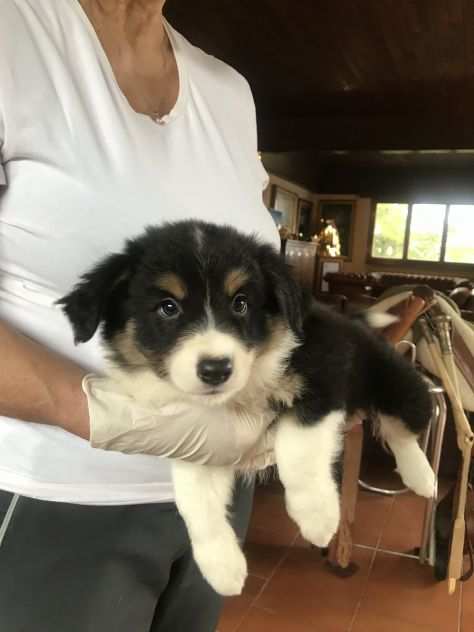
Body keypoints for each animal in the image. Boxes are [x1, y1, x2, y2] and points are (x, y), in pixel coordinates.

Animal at [60, 220, 436, 596]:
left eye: (240, 303)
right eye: (168, 307)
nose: (216, 369)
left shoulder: (323, 373)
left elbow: (298, 447)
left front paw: (317, 516)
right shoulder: (197, 437)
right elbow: (195, 497)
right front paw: (221, 566)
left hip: (392, 380)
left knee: (404, 424)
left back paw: (423, 479)